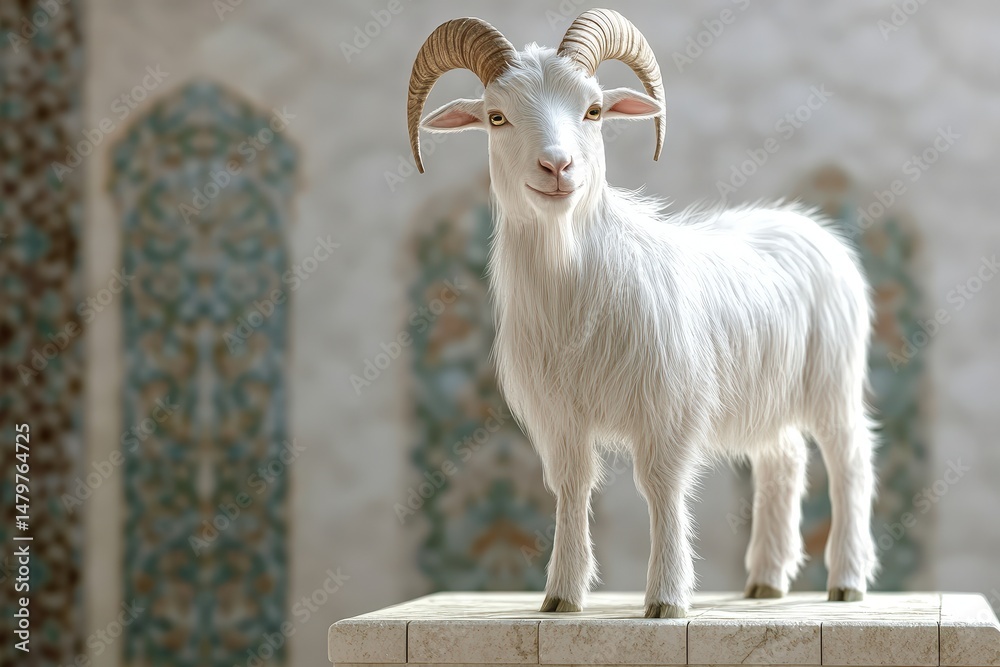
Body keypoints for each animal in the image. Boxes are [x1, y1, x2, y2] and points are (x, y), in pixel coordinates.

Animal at [406, 8, 877, 618]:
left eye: (593, 110)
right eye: (496, 116)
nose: (557, 166)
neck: (578, 280)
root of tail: (809, 224)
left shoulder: (668, 405)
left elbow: (661, 487)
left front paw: (667, 600)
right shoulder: (560, 416)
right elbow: (572, 485)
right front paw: (561, 595)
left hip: (832, 379)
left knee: (850, 461)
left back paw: (847, 580)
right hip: (765, 395)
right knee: (784, 458)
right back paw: (766, 581)